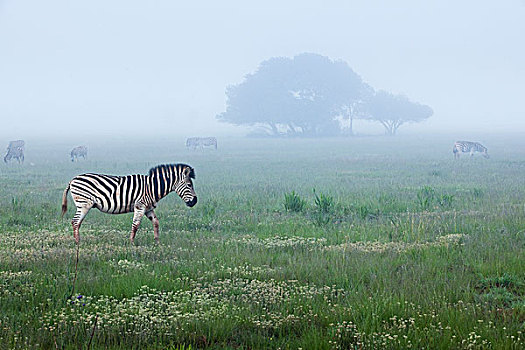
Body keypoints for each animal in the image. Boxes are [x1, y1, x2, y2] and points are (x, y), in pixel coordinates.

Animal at [61, 163, 196, 243]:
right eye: (189, 185)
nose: (194, 202)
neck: (152, 187)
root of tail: (72, 180)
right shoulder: (140, 205)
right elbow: (135, 225)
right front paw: (131, 243)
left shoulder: (148, 208)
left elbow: (156, 223)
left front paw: (157, 242)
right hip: (84, 204)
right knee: (75, 222)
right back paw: (77, 243)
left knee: (76, 222)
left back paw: (78, 241)